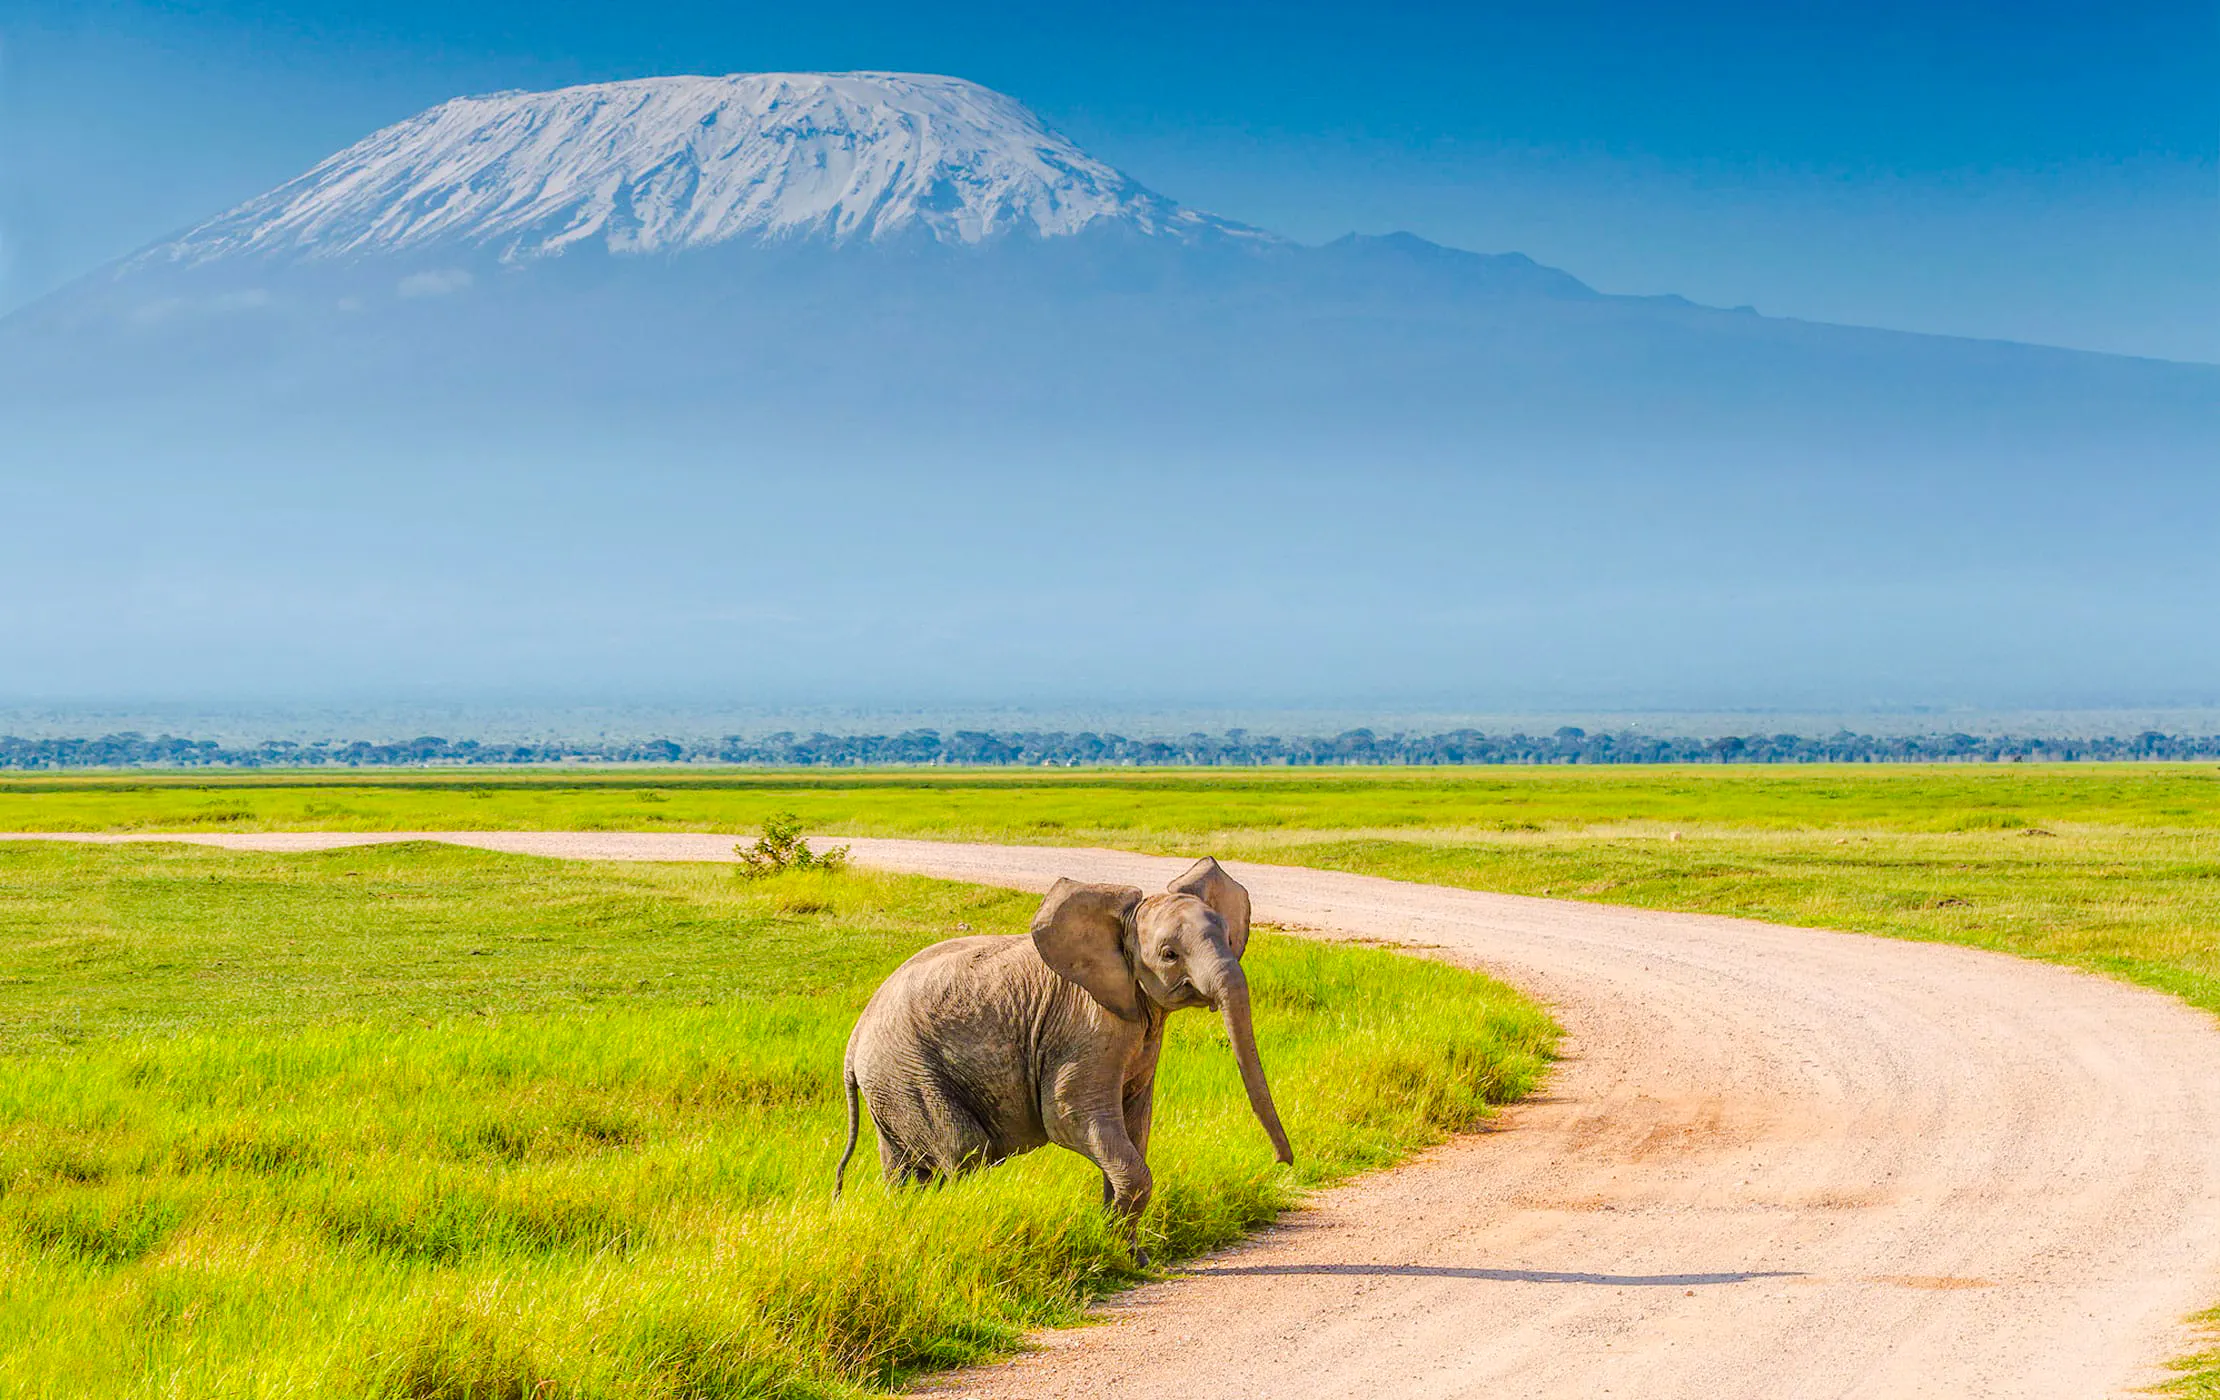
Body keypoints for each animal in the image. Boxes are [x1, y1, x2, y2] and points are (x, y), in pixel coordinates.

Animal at [834, 857, 1293, 1253]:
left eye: (1229, 938)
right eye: (1169, 954)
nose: (1282, 1163)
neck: (1120, 931)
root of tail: (853, 1043)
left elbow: (1134, 1124)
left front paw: (1125, 1253)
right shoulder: (1082, 1025)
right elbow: (1070, 1117)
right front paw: (1117, 1250)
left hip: (892, 1085)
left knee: (906, 1171)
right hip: (909, 1074)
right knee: (965, 1152)